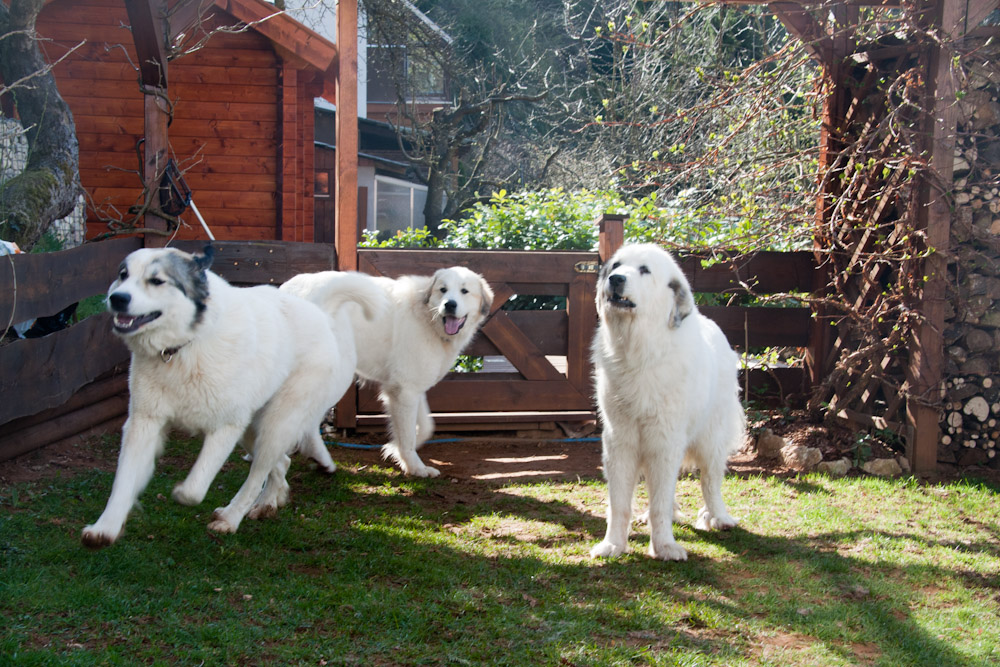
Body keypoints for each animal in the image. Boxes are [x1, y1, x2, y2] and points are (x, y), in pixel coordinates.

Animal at [80, 247, 384, 548]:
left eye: (157, 281)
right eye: (123, 275)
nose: (117, 298)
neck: (184, 348)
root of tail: (321, 315)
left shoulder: (225, 427)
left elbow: (193, 489)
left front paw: (183, 494)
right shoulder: (143, 423)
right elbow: (123, 482)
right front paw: (104, 529)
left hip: (275, 425)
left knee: (258, 474)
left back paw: (231, 517)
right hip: (252, 430)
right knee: (280, 464)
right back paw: (267, 503)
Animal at [284, 264, 494, 478]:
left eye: (464, 291)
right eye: (443, 290)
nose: (449, 305)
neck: (427, 315)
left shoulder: (410, 388)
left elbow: (426, 427)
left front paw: (393, 448)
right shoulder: (405, 390)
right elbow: (408, 436)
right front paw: (415, 467)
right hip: (337, 375)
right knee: (305, 421)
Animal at [588, 243, 748, 560]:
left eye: (644, 270)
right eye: (616, 265)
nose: (615, 279)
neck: (639, 354)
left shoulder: (664, 440)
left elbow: (660, 502)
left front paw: (664, 547)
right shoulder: (620, 442)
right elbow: (619, 504)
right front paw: (613, 545)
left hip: (711, 439)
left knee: (711, 481)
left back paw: (719, 517)